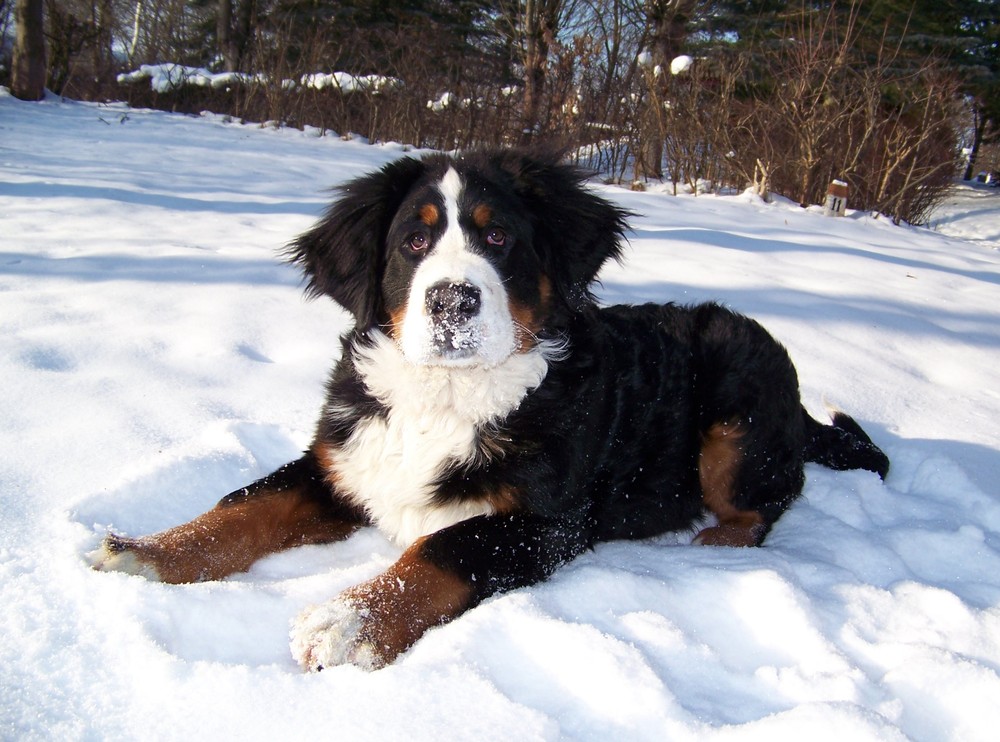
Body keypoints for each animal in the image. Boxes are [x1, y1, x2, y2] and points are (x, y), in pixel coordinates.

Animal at [92, 151, 892, 676]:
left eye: (498, 236)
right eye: (414, 241)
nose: (453, 300)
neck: (444, 397)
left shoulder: (545, 519)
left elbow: (442, 549)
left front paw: (348, 619)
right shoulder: (346, 461)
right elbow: (244, 505)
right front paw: (146, 550)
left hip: (735, 419)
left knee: (764, 504)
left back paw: (712, 544)